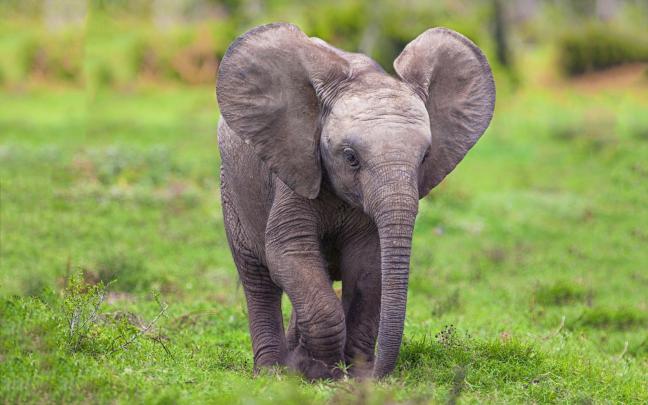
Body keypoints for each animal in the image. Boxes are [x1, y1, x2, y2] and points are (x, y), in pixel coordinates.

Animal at [216, 23, 495, 379]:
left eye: (424, 158)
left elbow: (367, 266)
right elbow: (289, 252)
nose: (376, 372)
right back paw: (271, 371)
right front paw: (319, 372)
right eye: (350, 158)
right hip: (232, 189)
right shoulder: (294, 170)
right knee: (258, 278)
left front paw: (350, 373)